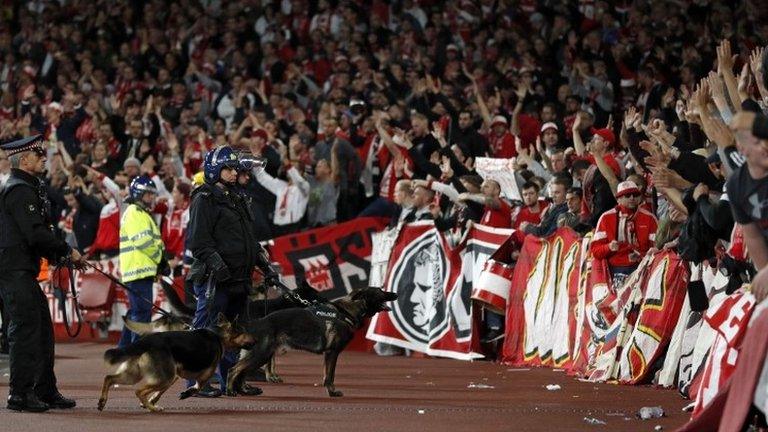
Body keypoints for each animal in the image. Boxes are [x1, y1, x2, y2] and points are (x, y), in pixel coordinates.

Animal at [97, 314, 255, 412]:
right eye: (245, 332)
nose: (257, 340)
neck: (218, 335)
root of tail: (145, 341)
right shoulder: (203, 377)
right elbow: (196, 387)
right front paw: (186, 393)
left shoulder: (175, 376)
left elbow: (159, 392)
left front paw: (151, 401)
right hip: (161, 377)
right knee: (138, 391)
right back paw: (153, 409)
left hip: (135, 376)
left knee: (108, 378)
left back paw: (102, 401)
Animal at [225, 288, 396, 396]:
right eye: (380, 290)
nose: (395, 293)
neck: (347, 311)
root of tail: (256, 322)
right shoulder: (332, 352)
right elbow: (330, 376)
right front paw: (332, 392)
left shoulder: (329, 355)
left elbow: (326, 375)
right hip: (262, 354)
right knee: (234, 369)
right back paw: (230, 391)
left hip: (259, 355)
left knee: (241, 373)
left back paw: (245, 391)